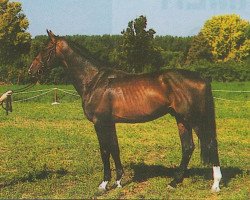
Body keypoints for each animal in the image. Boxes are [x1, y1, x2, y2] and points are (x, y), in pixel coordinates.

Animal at [28, 30, 222, 192]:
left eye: (45, 49)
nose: (31, 70)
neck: (95, 81)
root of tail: (202, 78)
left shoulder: (100, 123)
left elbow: (104, 151)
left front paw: (104, 184)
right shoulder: (110, 123)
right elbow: (115, 148)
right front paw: (119, 181)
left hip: (195, 120)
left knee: (210, 144)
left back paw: (215, 185)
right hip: (182, 119)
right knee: (188, 147)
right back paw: (174, 182)